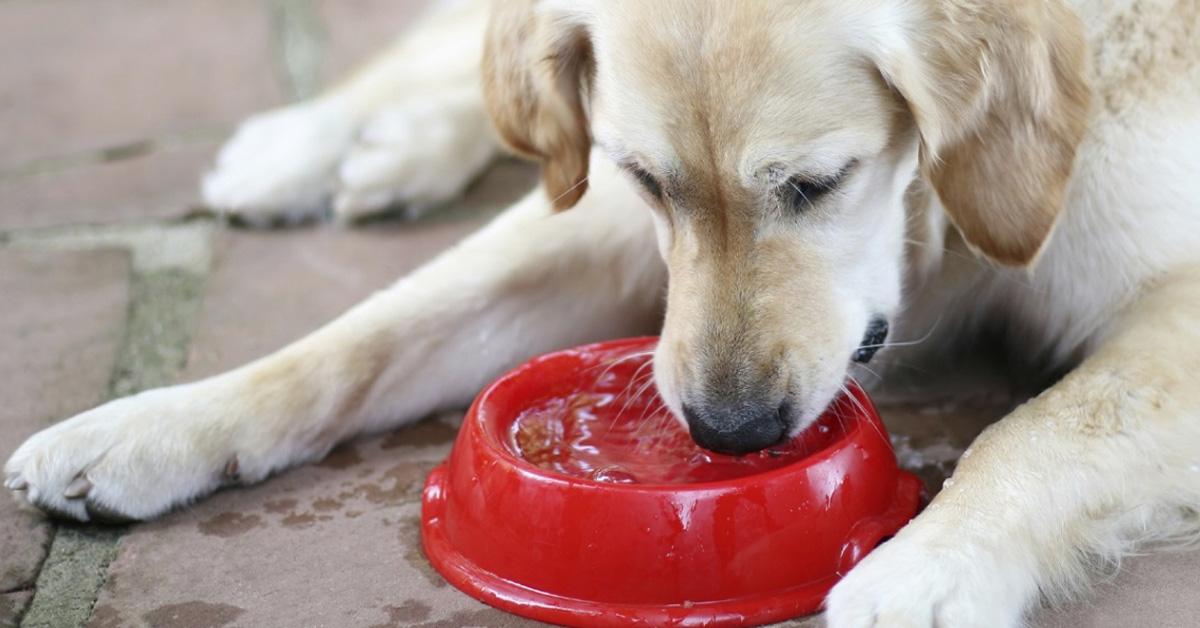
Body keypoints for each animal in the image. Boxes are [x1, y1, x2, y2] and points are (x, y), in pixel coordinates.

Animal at [2, 0, 1200, 624]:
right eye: (649, 179)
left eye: (817, 184)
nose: (729, 433)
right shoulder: (603, 212)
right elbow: (365, 334)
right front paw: (154, 425)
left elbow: (1039, 430)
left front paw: (925, 572)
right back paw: (314, 142)